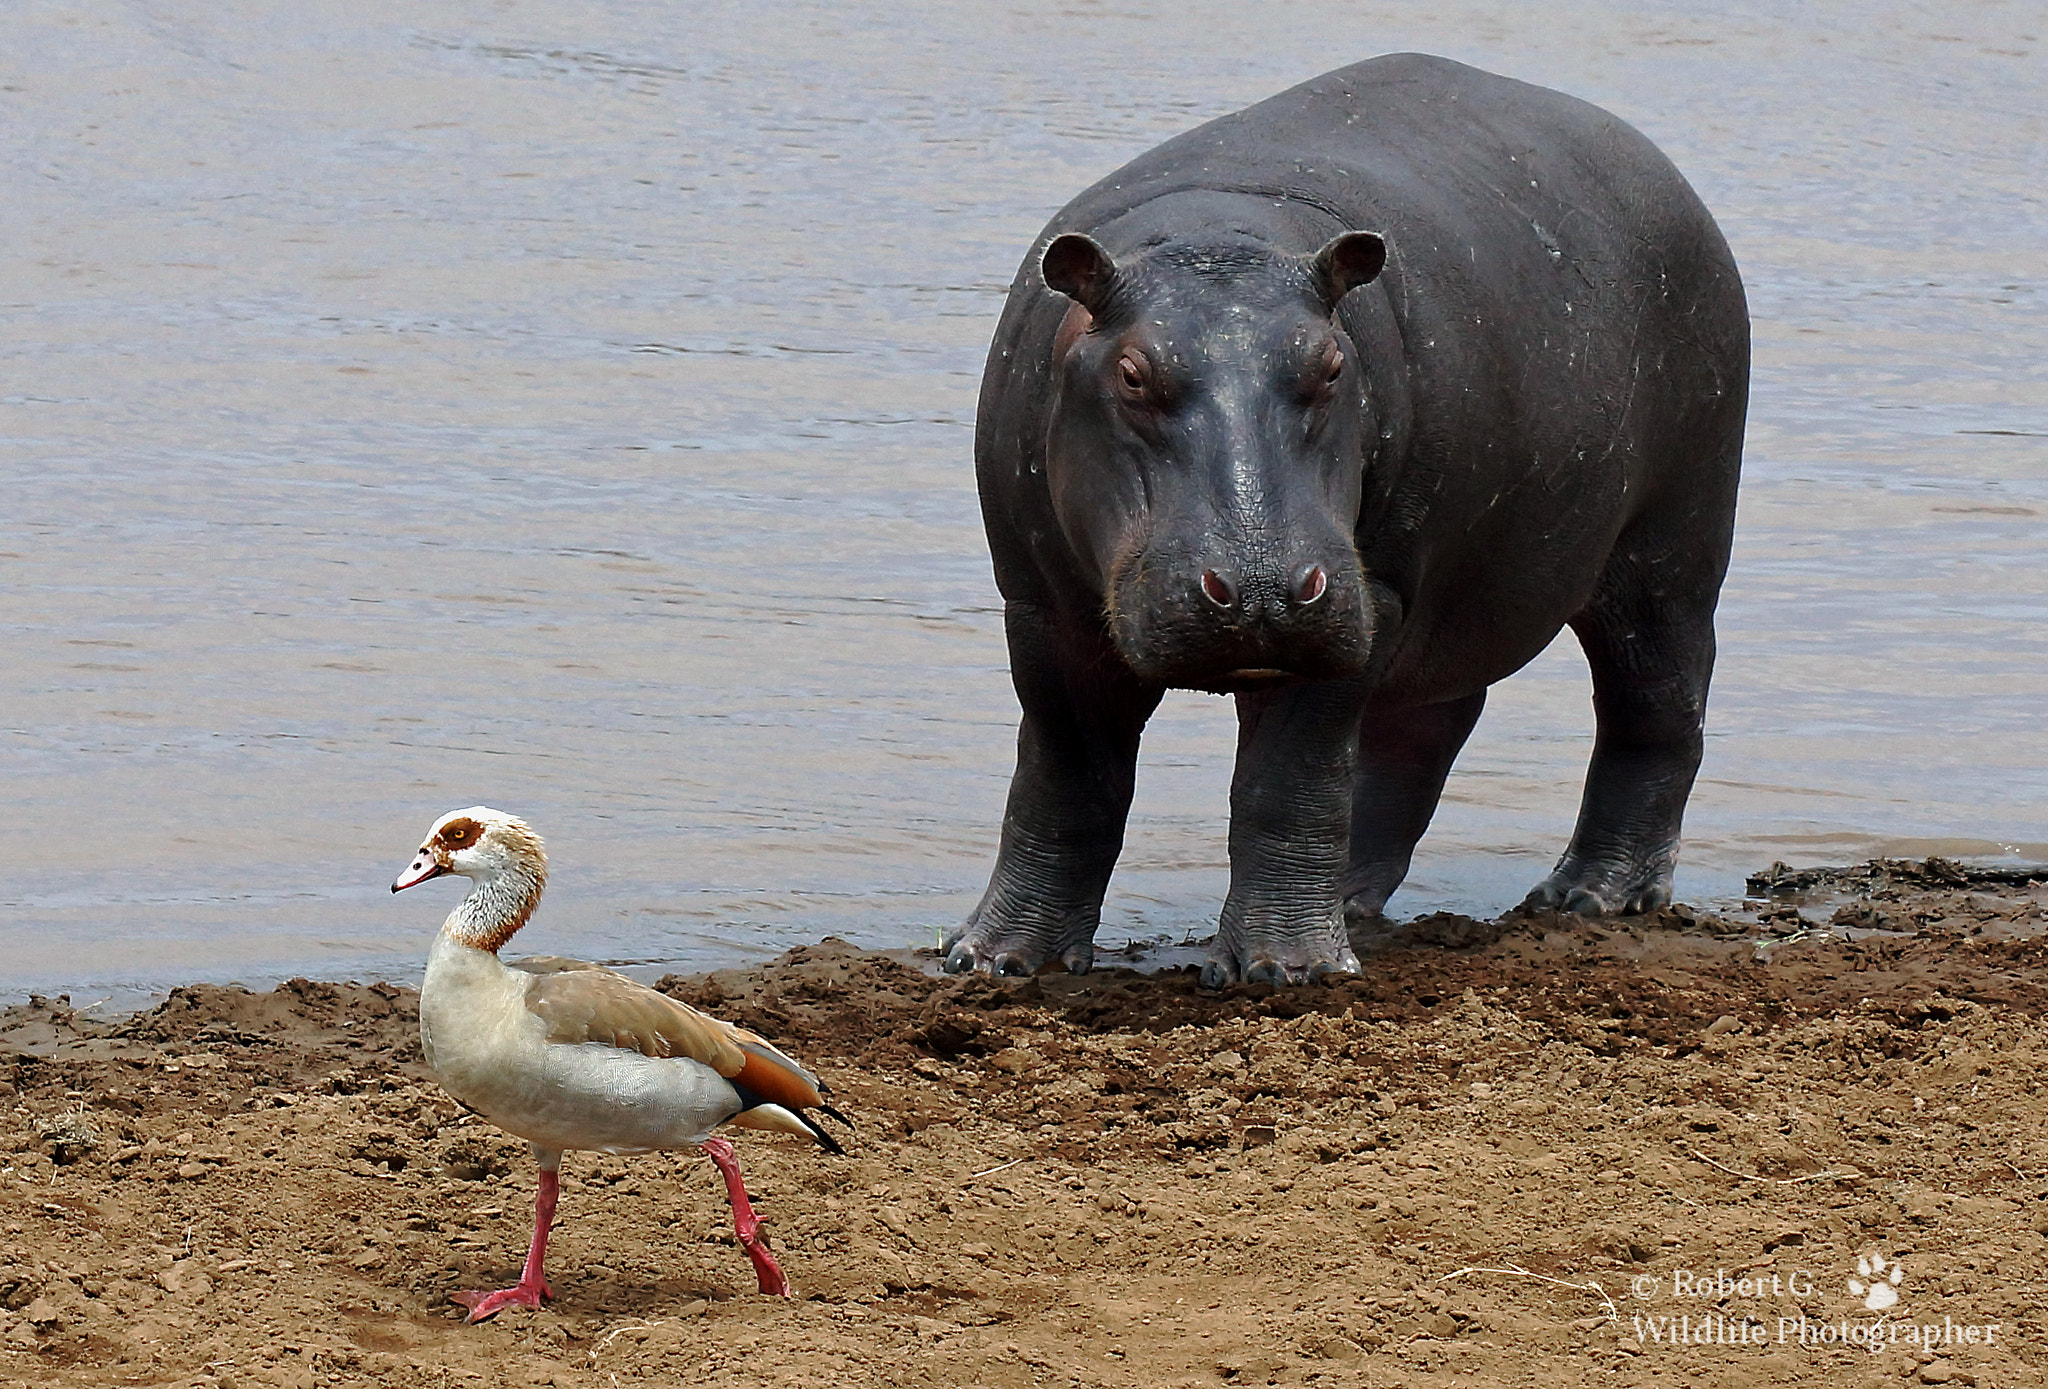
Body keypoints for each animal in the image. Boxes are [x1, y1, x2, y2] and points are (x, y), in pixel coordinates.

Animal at [942, 57, 1744, 991]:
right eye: (1134, 374)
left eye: (1331, 364)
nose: (1260, 587)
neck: (1214, 236)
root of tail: (1667, 178)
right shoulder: (1040, 604)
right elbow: (1067, 773)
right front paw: (994, 957)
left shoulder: (1374, 593)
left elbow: (1287, 782)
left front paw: (1286, 968)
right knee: (1420, 730)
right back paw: (1356, 897)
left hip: (1670, 544)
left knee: (1655, 705)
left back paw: (1590, 895)